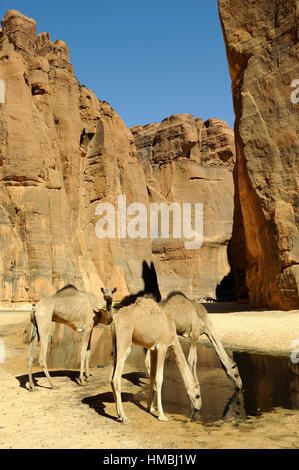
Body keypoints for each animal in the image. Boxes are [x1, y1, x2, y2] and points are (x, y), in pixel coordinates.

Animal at [109, 298, 202, 426]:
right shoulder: (162, 346)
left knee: (111, 376)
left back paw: (118, 416)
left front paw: (150, 408)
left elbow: (152, 376)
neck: (173, 334)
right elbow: (159, 378)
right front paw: (162, 416)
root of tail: (115, 320)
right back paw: (125, 418)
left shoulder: (153, 349)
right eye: (197, 396)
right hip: (124, 340)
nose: (199, 407)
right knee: (116, 378)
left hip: (115, 346)